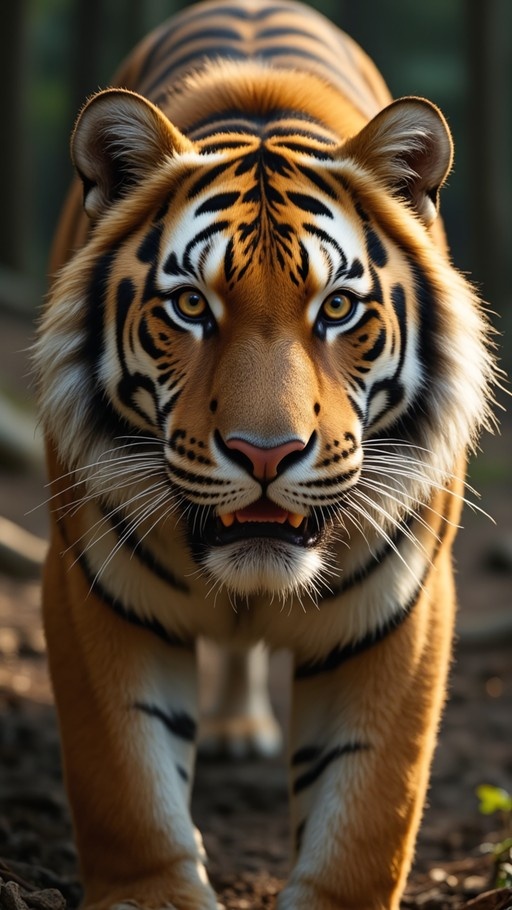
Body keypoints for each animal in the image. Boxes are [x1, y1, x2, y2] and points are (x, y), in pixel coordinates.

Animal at [34, 0, 497, 908]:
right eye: (189, 307)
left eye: (338, 309)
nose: (265, 453)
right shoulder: (89, 587)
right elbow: (124, 779)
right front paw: (151, 894)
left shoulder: (405, 608)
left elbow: (369, 804)